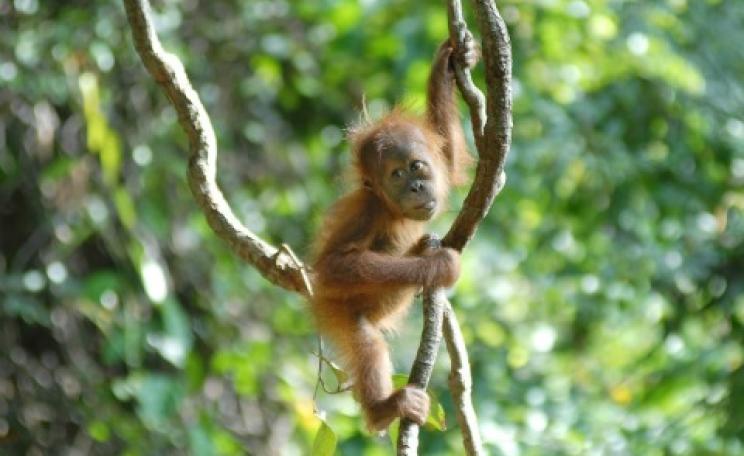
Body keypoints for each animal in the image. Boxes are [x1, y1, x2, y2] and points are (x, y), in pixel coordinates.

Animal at [311, 34, 478, 432]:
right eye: (396, 175)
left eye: (417, 167)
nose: (415, 187)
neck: (393, 211)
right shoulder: (367, 214)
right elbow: (335, 264)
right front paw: (438, 265)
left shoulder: (439, 166)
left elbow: (449, 159)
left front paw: (447, 62)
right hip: (332, 305)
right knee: (366, 340)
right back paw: (384, 409)